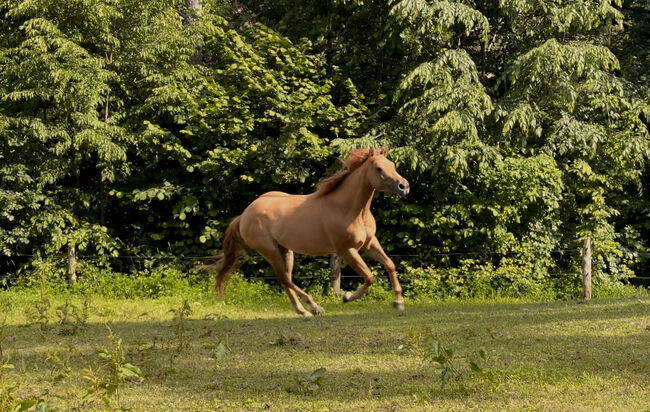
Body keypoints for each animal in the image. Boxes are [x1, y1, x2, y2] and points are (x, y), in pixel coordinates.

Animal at [213, 146, 408, 318]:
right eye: (378, 168)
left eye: (392, 164)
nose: (404, 186)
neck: (349, 210)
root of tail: (244, 214)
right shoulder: (346, 250)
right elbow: (369, 277)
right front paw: (347, 297)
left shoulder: (370, 243)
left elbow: (390, 264)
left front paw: (398, 302)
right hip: (270, 251)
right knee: (285, 279)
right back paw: (314, 307)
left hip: (285, 250)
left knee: (285, 279)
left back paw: (304, 311)